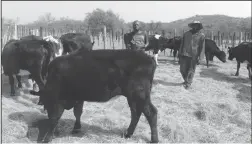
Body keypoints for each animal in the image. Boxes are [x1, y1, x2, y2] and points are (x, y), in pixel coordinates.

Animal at [29, 48, 158, 143]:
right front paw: (76, 128)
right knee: (136, 113)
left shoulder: (58, 100)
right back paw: (128, 134)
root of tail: (148, 58)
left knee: (151, 113)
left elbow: (55, 118)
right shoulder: (78, 97)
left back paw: (154, 140)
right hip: (132, 97)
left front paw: (47, 138)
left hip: (139, 94)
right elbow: (77, 112)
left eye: (46, 105)